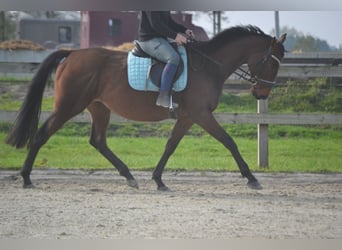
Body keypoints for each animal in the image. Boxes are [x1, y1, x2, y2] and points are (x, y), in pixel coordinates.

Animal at [6, 24, 286, 189]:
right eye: (273, 63)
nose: (261, 93)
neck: (208, 65)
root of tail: (72, 54)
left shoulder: (188, 117)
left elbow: (170, 145)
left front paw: (158, 179)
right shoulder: (201, 114)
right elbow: (229, 141)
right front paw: (251, 178)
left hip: (99, 108)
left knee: (98, 141)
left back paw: (129, 176)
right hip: (68, 106)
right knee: (42, 135)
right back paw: (27, 177)